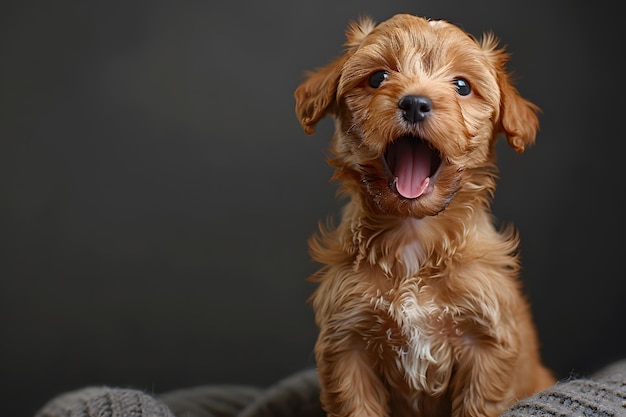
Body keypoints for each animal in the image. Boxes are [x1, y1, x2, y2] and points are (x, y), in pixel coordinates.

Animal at [292, 13, 552, 416]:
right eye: (378, 78)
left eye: (462, 85)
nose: (415, 103)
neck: (413, 236)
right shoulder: (347, 342)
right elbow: (357, 404)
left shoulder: (486, 343)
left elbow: (478, 403)